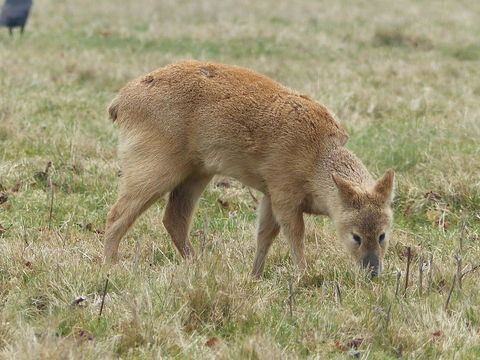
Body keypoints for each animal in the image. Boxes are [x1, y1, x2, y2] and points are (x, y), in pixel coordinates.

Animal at [105, 60, 394, 278]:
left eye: (382, 234)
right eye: (356, 236)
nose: (372, 272)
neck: (317, 158)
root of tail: (120, 102)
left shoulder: (268, 194)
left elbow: (264, 235)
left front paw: (255, 275)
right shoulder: (283, 192)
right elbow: (294, 234)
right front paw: (302, 275)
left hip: (197, 172)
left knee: (173, 219)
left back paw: (197, 265)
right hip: (154, 164)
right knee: (117, 213)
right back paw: (110, 266)